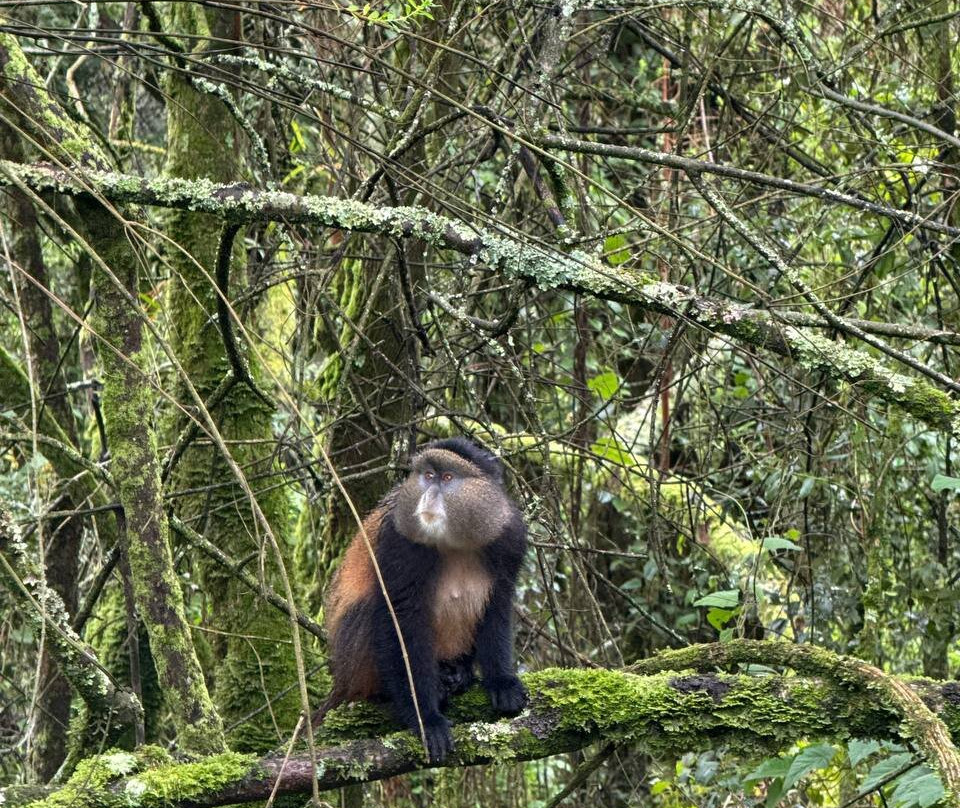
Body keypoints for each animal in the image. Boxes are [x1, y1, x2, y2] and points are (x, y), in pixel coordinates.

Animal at [319, 437, 528, 763]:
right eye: (428, 476)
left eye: (447, 477)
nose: (428, 495)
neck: (455, 541)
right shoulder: (400, 543)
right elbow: (402, 617)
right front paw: (426, 719)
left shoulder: (509, 538)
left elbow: (498, 607)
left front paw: (502, 681)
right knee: (372, 611)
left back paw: (458, 674)